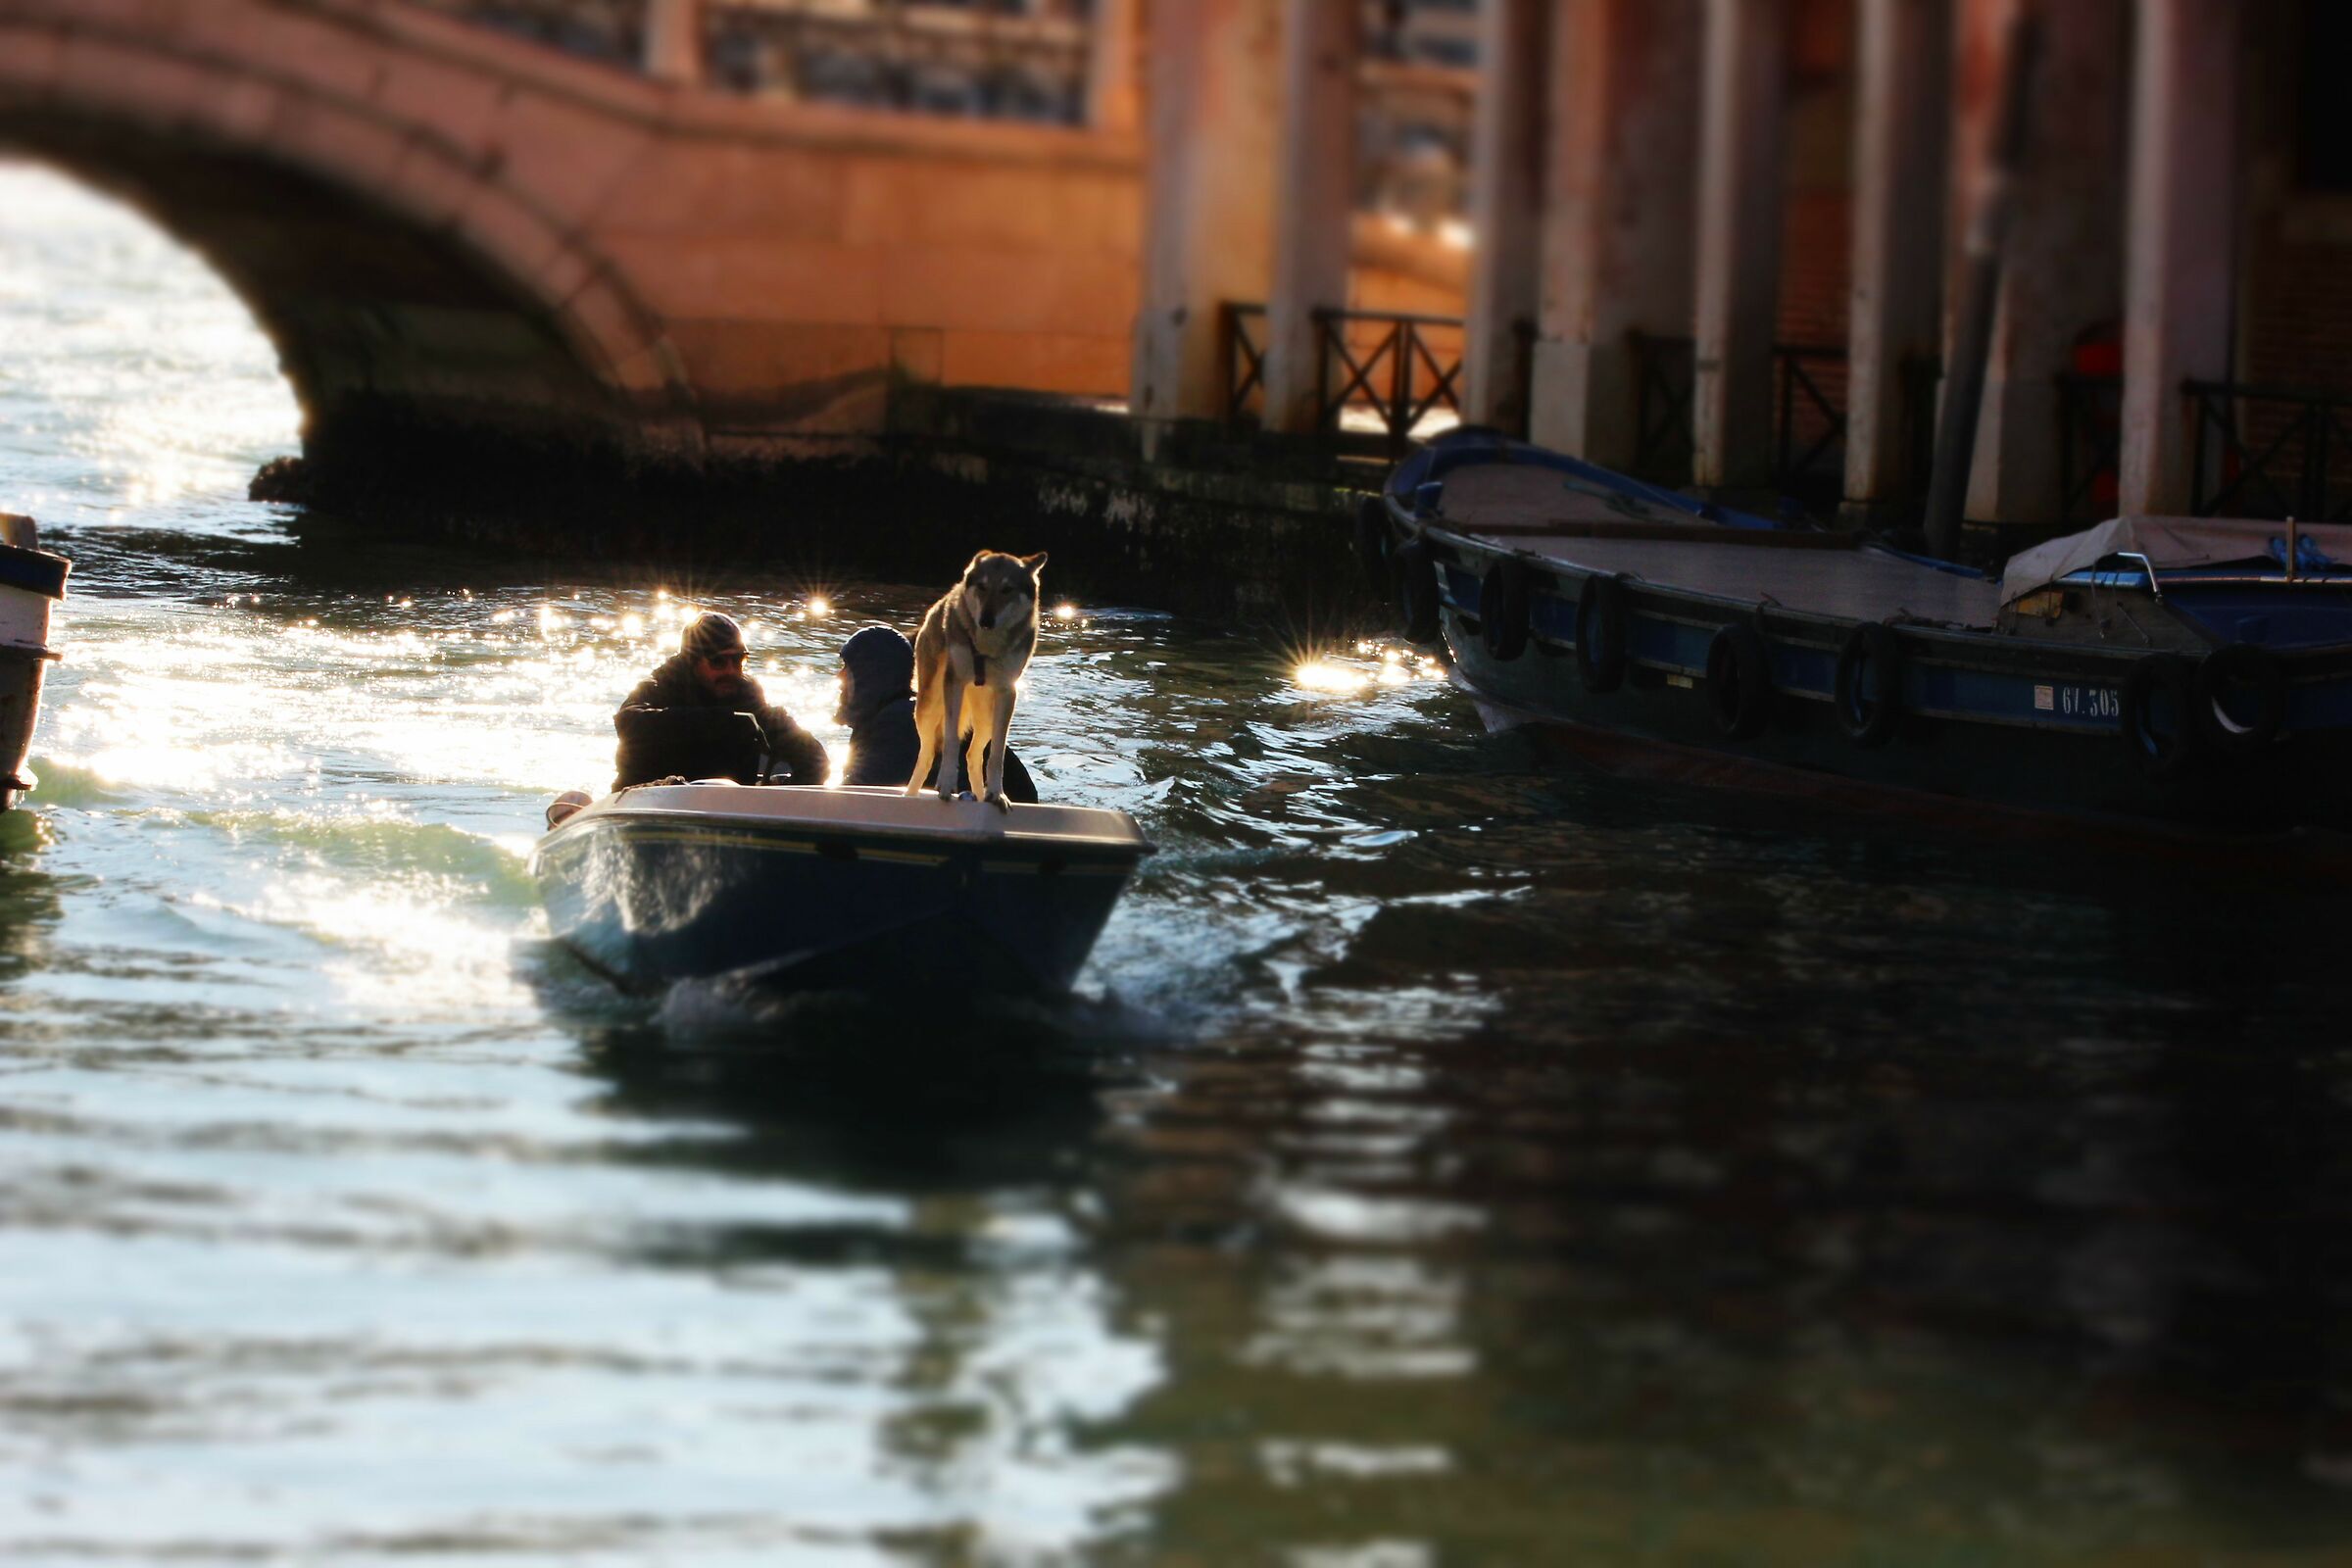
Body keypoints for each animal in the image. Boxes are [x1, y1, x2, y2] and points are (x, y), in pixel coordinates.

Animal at [906, 550, 1048, 810]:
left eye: (1006, 589)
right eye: (982, 586)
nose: (986, 620)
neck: (987, 648)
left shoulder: (1007, 692)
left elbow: (997, 755)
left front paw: (997, 794)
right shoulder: (954, 683)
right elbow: (952, 741)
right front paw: (946, 785)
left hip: (986, 717)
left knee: (973, 756)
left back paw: (983, 797)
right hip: (928, 707)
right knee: (927, 755)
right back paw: (909, 796)